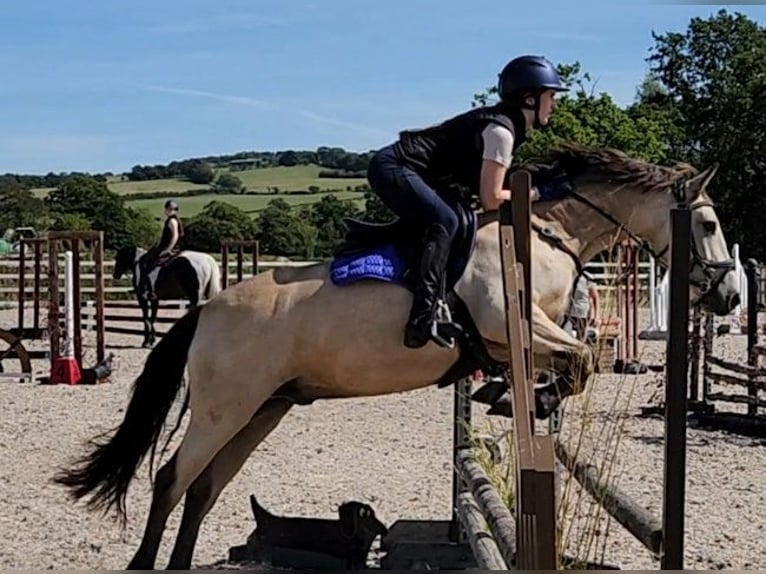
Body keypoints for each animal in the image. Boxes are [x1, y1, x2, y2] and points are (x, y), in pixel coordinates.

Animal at [52, 144, 736, 572]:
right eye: (706, 225)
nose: (728, 295)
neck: (542, 232)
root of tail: (206, 311)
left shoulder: (525, 335)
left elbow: (579, 360)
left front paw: (518, 396)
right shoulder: (509, 325)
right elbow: (583, 359)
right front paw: (519, 395)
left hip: (262, 409)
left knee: (203, 488)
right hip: (226, 408)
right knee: (172, 479)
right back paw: (146, 563)